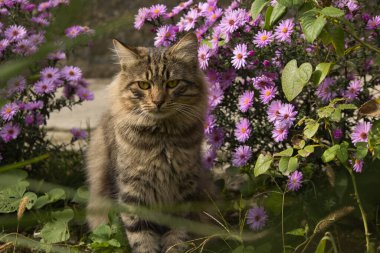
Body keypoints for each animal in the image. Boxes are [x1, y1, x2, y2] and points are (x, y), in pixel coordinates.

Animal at [85, 32, 211, 252]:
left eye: (172, 83)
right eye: (144, 85)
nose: (158, 101)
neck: (162, 138)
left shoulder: (183, 190)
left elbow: (176, 237)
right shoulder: (132, 191)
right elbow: (141, 237)